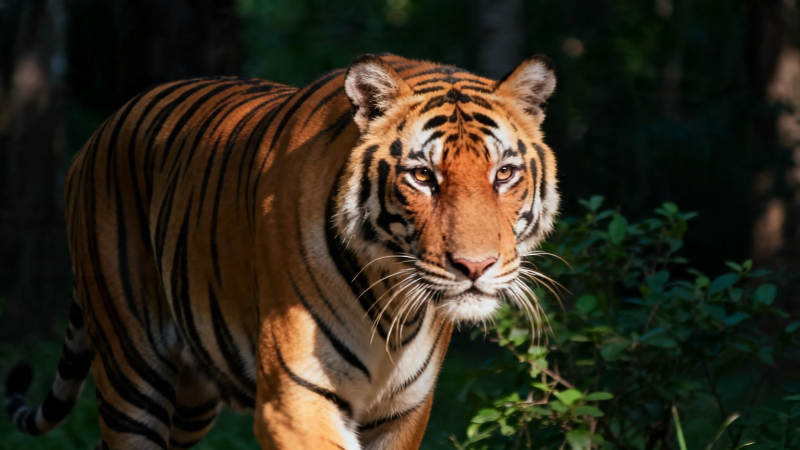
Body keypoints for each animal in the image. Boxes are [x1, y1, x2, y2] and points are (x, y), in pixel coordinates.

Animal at [4, 53, 558, 449]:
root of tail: (99, 132)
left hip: (190, 400)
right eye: (423, 176)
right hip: (131, 372)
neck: (392, 311)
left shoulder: (403, 415)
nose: (475, 266)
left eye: (504, 173)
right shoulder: (296, 402)